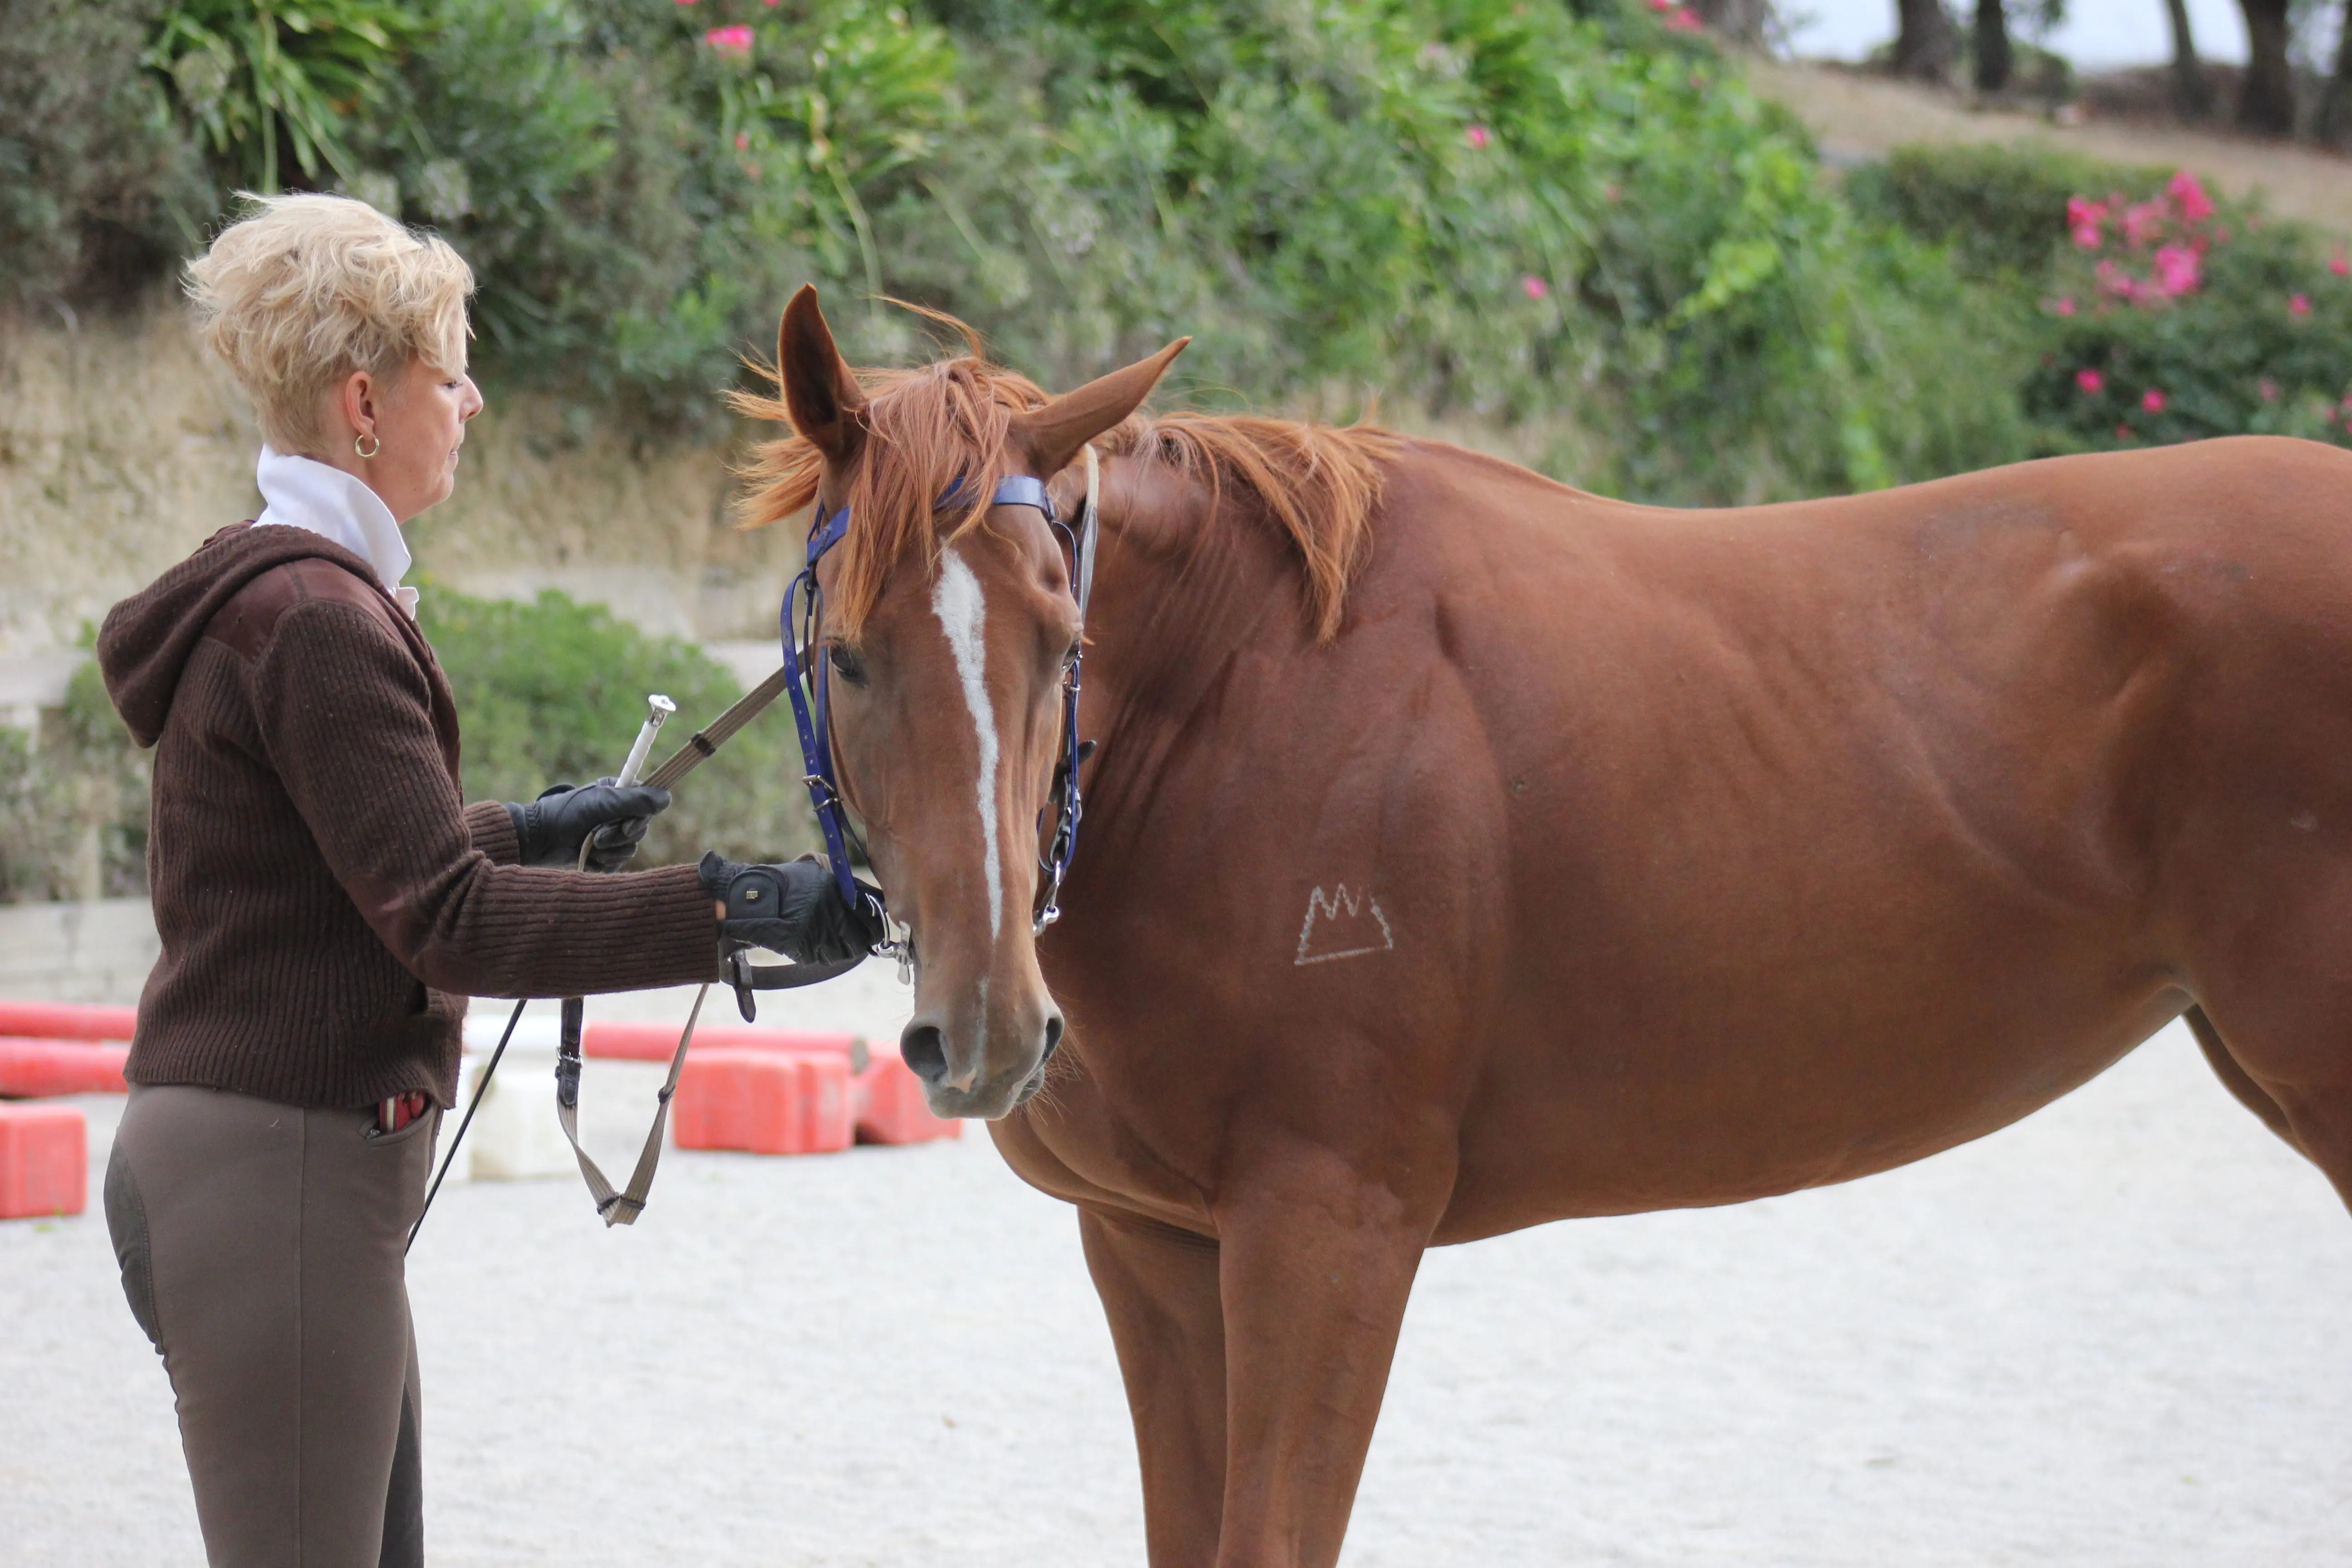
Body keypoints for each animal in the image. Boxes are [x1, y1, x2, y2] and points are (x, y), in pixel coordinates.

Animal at [743, 285, 2352, 1568]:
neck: (1248, 694)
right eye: (849, 654)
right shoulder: (1153, 1247)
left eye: (1066, 643)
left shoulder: (1328, 1231)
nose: (991, 1028)